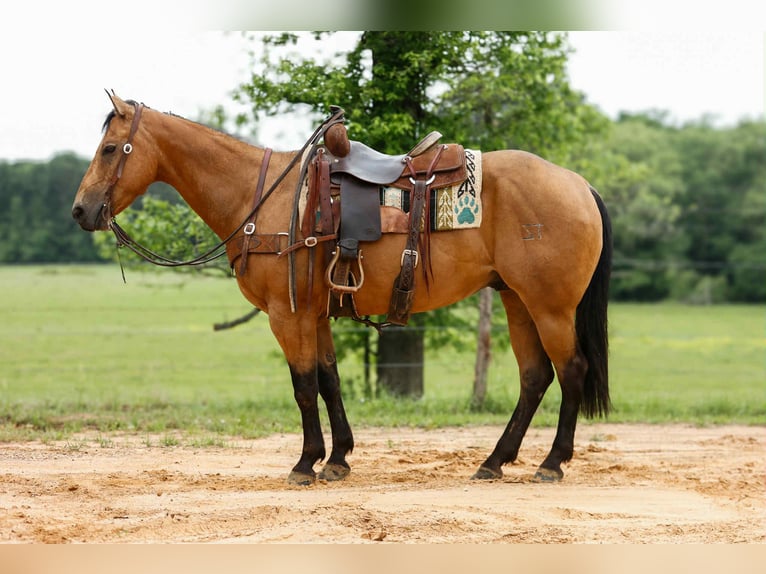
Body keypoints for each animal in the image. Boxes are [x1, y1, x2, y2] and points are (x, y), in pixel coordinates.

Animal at [72, 93, 612, 485]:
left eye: (108, 149)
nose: (80, 210)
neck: (261, 198)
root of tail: (579, 184)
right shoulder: (314, 314)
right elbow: (329, 380)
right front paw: (338, 459)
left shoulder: (286, 315)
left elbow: (304, 385)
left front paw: (305, 462)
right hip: (517, 300)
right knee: (534, 377)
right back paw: (495, 461)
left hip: (550, 307)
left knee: (571, 370)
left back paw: (552, 463)